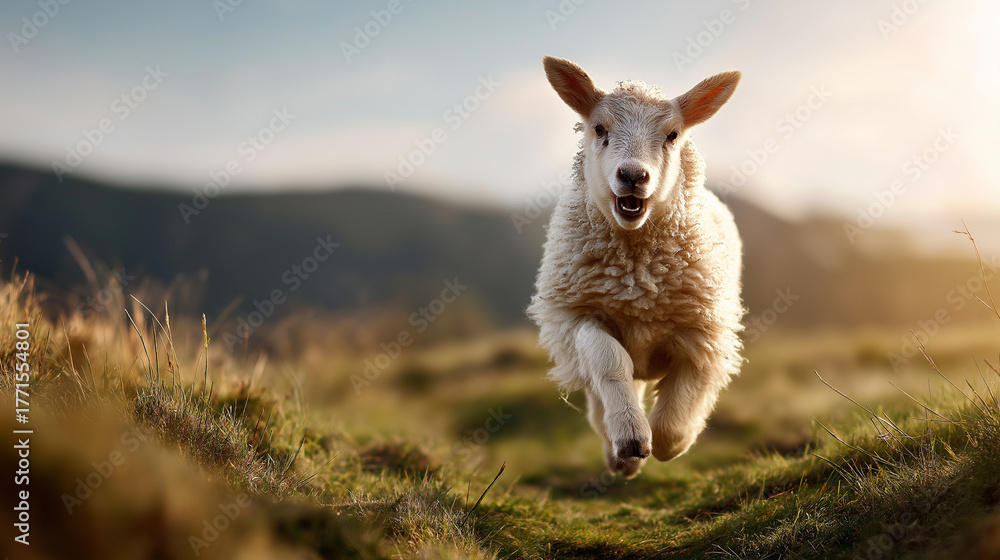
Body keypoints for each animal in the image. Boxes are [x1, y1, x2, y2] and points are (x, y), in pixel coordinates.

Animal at [527, 56, 745, 478]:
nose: (632, 176)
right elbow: (609, 360)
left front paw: (669, 442)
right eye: (599, 128)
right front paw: (629, 437)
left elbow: (674, 420)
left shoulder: (702, 333)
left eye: (673, 134)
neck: (636, 281)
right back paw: (620, 454)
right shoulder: (577, 316)